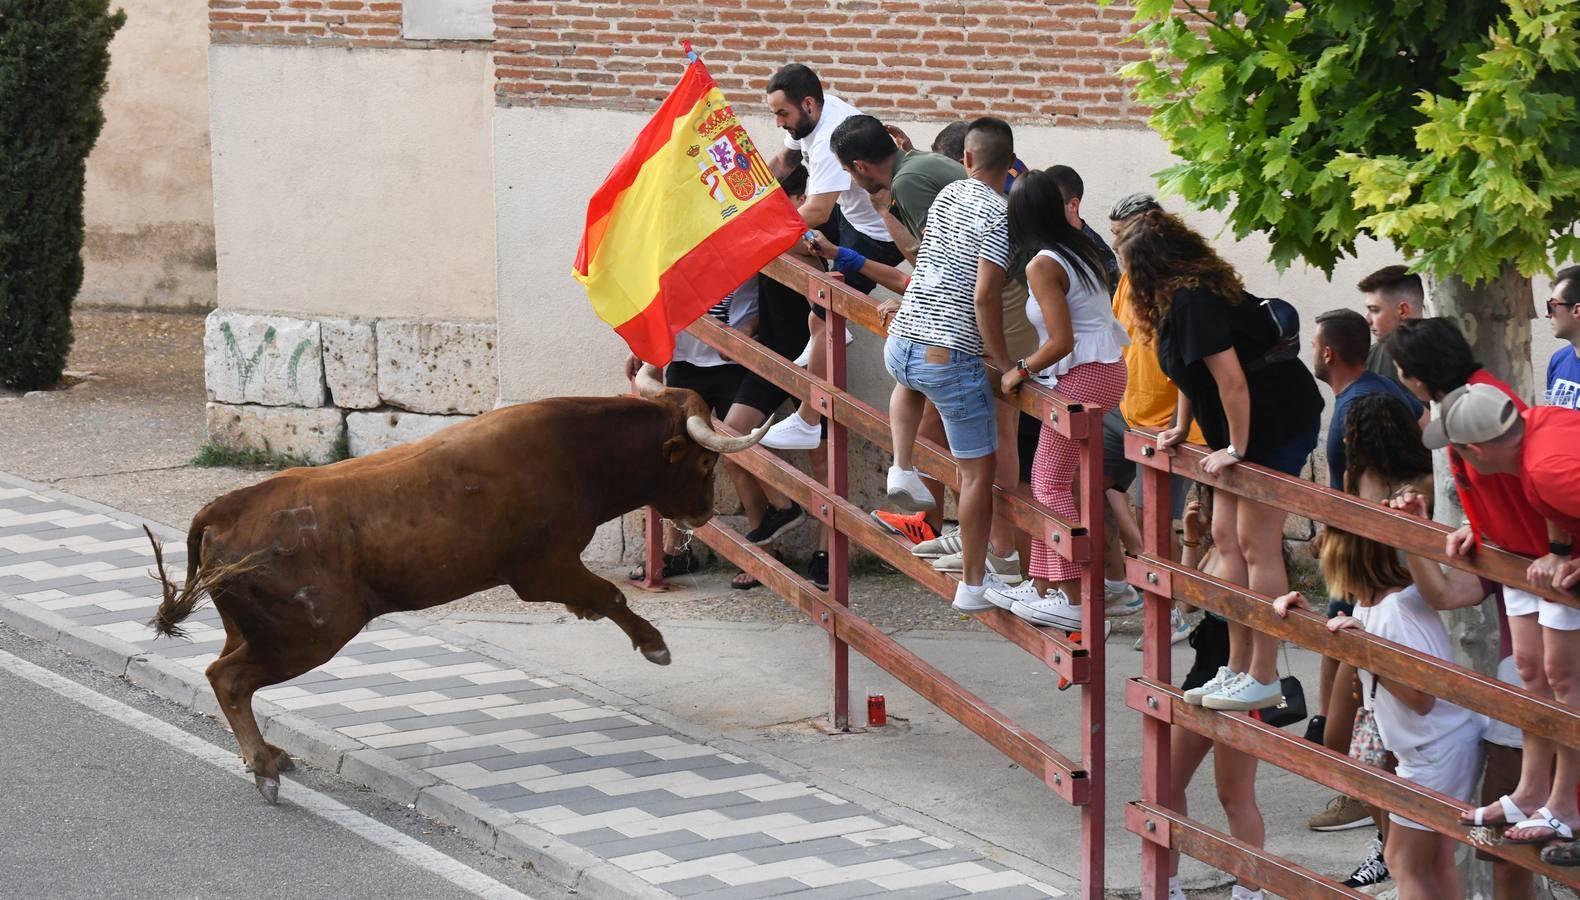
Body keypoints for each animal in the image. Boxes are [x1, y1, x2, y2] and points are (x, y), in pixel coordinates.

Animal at [148, 364, 764, 798]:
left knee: (223, 671)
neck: (576, 452)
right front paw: (654, 646)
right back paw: (265, 768)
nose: (704, 514)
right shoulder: (544, 567)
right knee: (229, 678)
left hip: (253, 628)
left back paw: (270, 756)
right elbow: (609, 593)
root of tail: (226, 507)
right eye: (705, 464)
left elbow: (599, 598)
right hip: (307, 635)